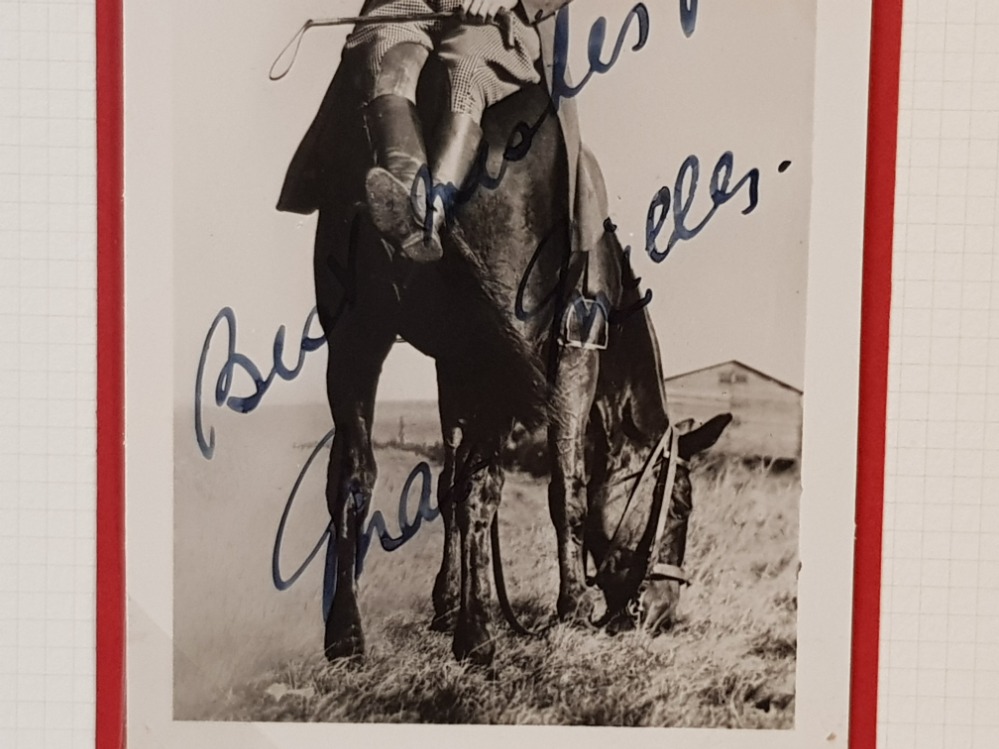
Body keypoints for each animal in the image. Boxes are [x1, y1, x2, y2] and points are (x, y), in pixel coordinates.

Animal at [278, 48, 732, 668]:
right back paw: (478, 634)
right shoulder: (574, 362)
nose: (663, 613)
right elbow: (566, 485)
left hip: (357, 341)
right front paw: (571, 605)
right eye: (681, 506)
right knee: (481, 488)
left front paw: (446, 603)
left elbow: (447, 484)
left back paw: (347, 634)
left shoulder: (453, 367)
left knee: (354, 478)